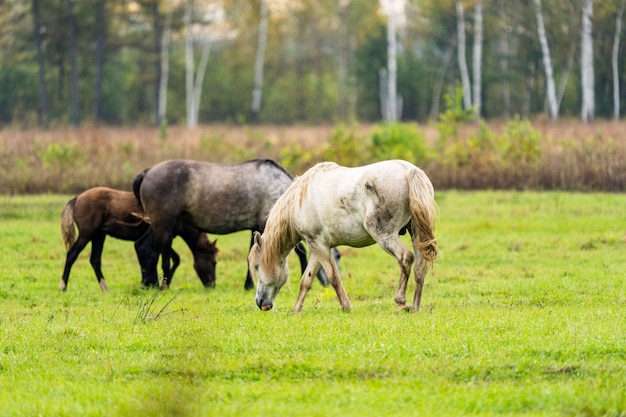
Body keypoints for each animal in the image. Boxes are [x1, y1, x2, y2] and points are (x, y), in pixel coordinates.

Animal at [60, 187, 217, 290]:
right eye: (214, 262)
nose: (212, 285)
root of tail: (77, 198)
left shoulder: (165, 238)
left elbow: (174, 259)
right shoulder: (166, 238)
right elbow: (166, 261)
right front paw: (160, 284)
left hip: (99, 236)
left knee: (95, 260)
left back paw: (105, 288)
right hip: (87, 234)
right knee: (72, 255)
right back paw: (63, 286)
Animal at [249, 159, 438, 312]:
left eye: (257, 266)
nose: (260, 302)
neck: (299, 200)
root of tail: (409, 171)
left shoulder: (319, 246)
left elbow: (333, 277)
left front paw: (345, 306)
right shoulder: (317, 246)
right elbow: (306, 280)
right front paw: (296, 310)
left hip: (385, 236)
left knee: (405, 258)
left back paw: (401, 302)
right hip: (416, 234)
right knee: (420, 266)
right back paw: (415, 307)